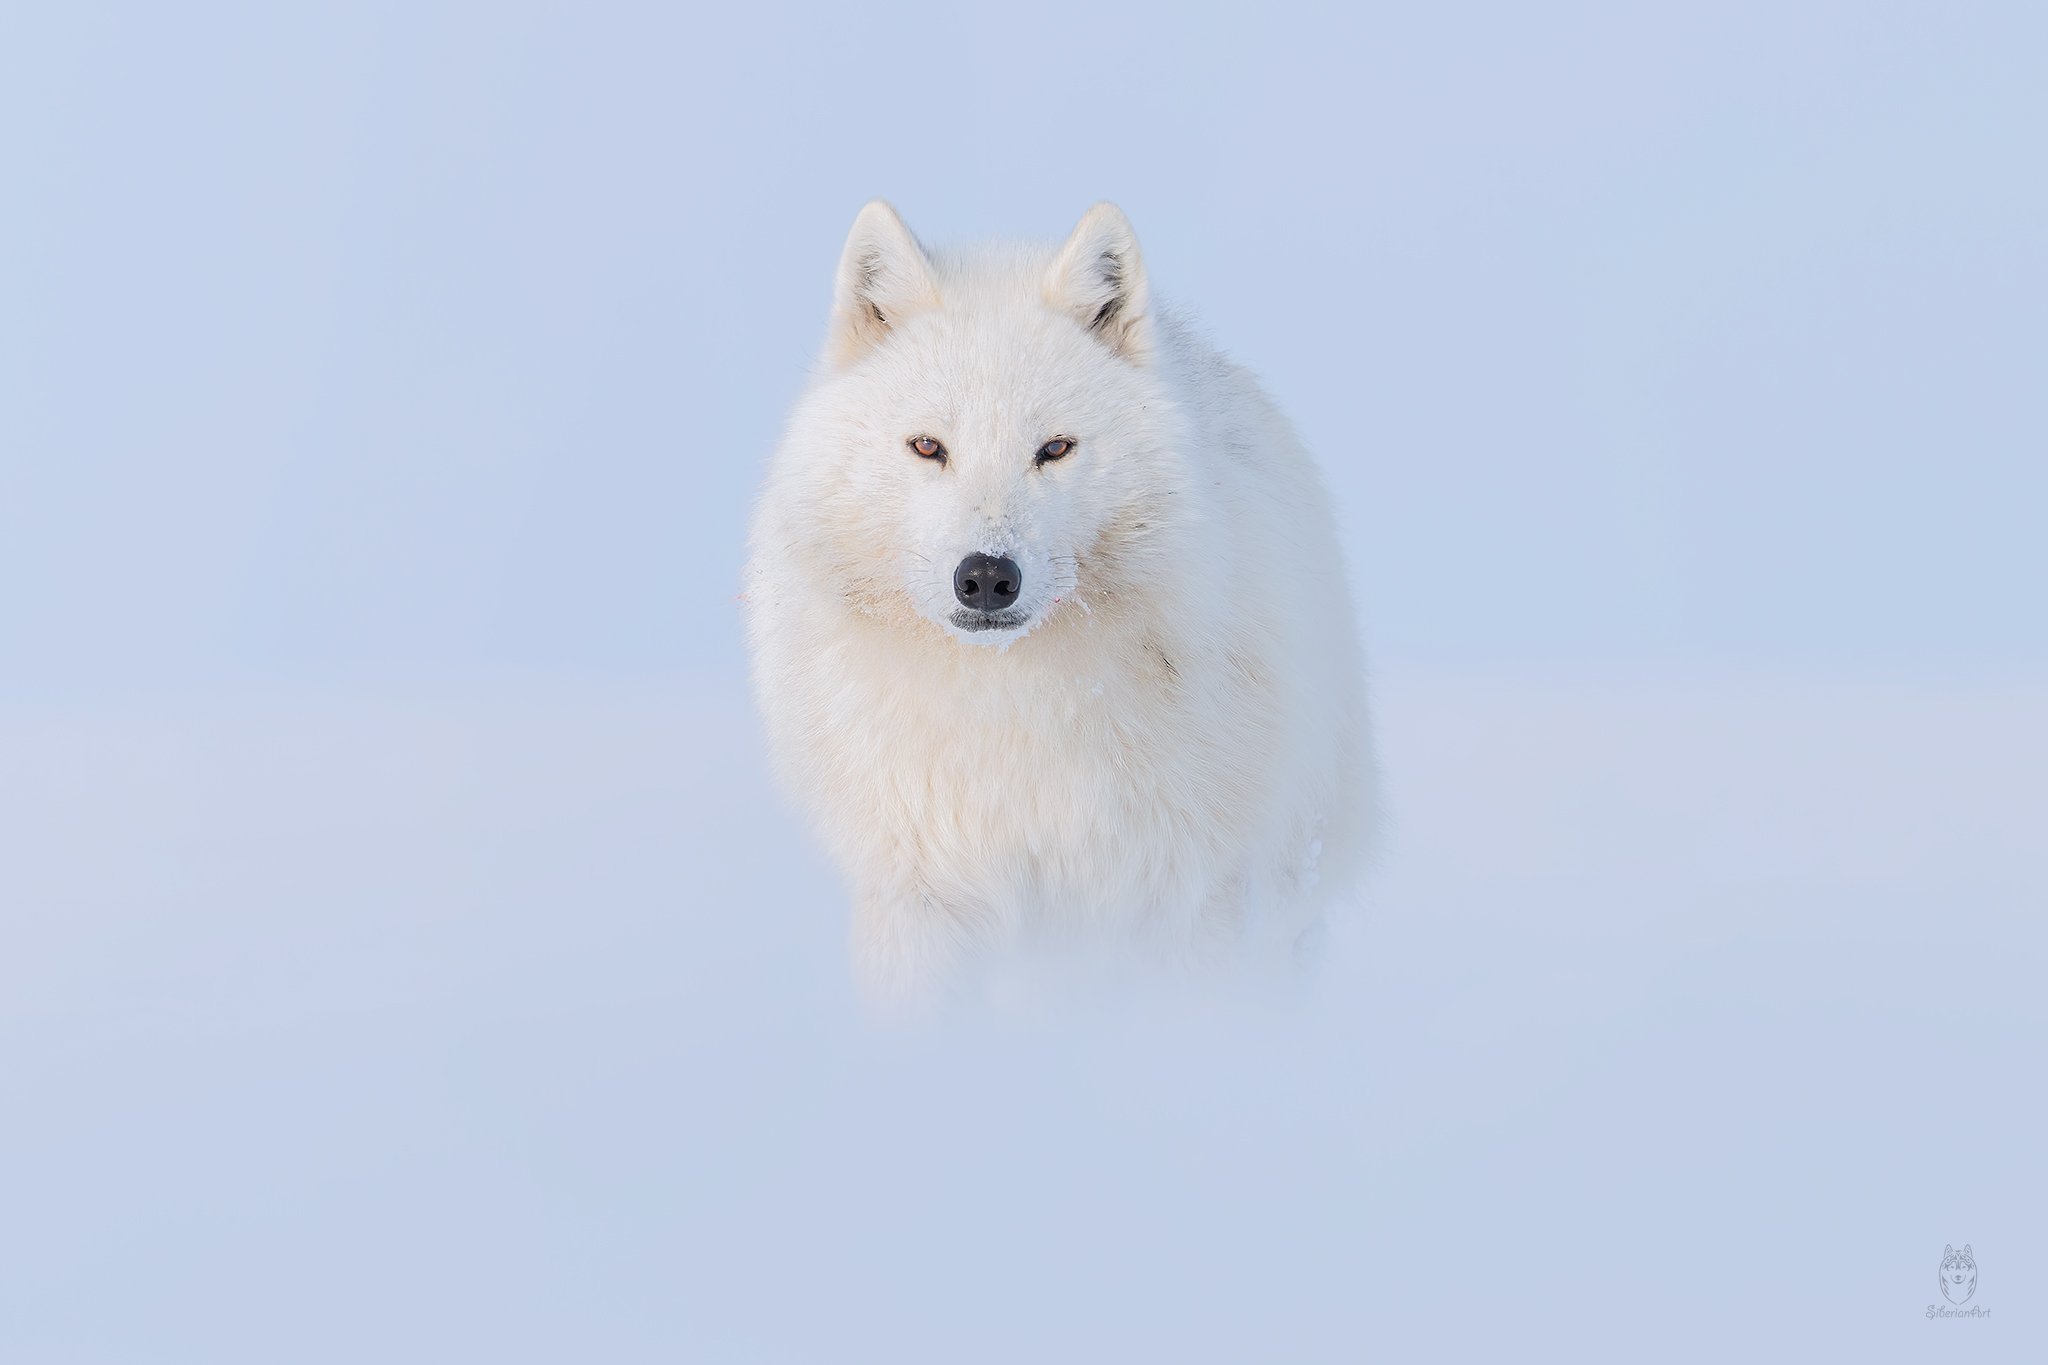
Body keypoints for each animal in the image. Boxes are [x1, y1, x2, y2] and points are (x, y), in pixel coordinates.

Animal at [745, 201, 1374, 1013]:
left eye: (1054, 449)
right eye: (928, 447)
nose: (986, 577)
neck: (1009, 709)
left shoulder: (1179, 893)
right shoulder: (916, 892)